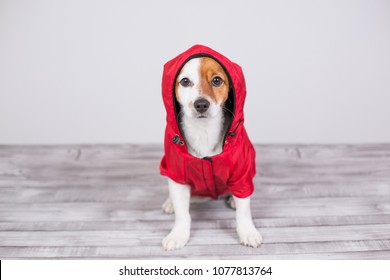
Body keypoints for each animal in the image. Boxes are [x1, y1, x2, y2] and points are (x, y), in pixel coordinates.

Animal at [158, 44, 262, 252]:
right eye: (185, 81)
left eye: (216, 80)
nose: (201, 104)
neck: (203, 131)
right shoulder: (177, 172)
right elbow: (183, 214)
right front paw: (178, 234)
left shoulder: (242, 172)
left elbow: (244, 210)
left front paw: (247, 231)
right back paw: (170, 202)